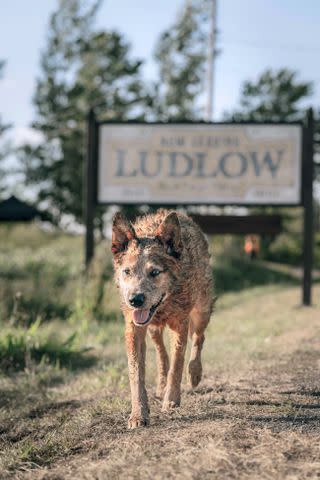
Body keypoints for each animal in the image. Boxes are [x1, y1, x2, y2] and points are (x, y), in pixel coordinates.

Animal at [111, 209, 214, 428]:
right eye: (127, 271)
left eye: (155, 272)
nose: (135, 300)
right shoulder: (134, 328)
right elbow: (136, 374)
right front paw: (138, 414)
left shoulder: (180, 324)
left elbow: (177, 364)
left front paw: (172, 400)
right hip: (153, 329)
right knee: (161, 353)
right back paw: (161, 384)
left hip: (201, 310)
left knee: (199, 338)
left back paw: (194, 373)